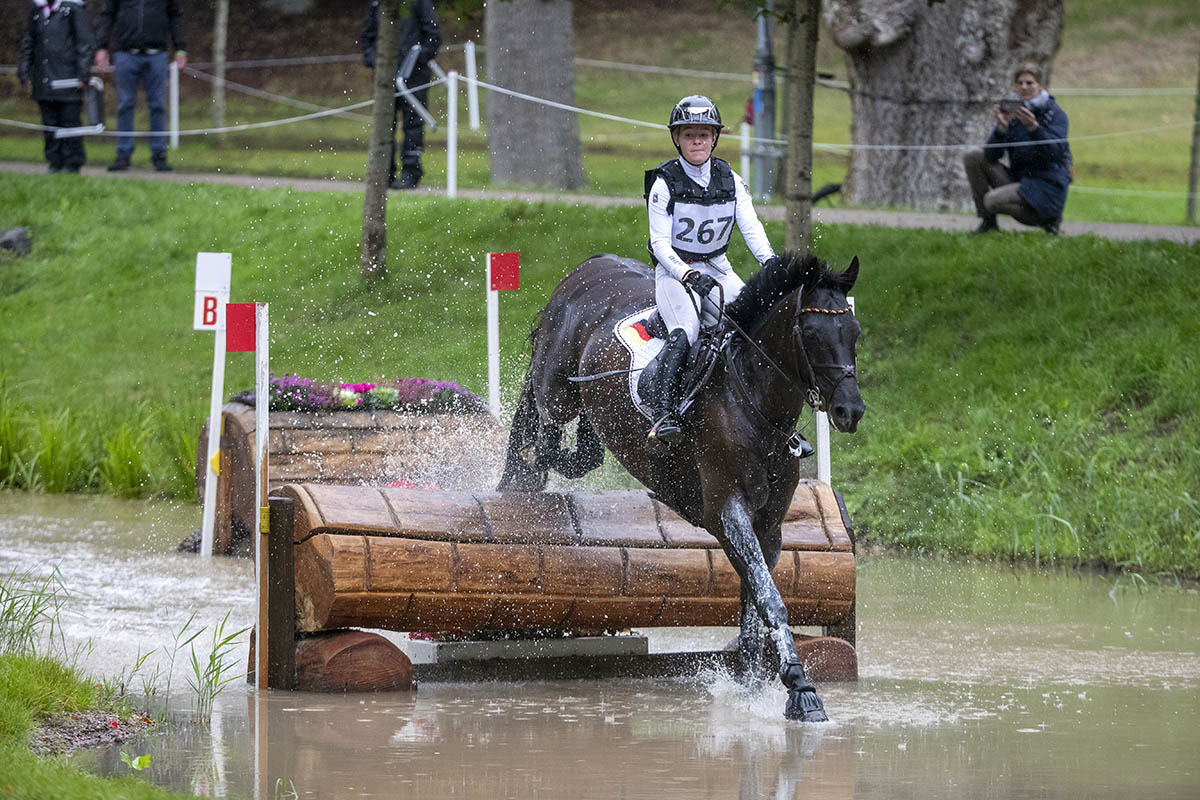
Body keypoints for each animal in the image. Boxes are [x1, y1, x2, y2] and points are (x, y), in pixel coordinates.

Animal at [496, 248, 864, 719]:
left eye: (854, 331)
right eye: (812, 333)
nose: (850, 411)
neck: (752, 401)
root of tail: (588, 266)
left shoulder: (768, 528)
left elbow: (753, 604)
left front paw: (752, 687)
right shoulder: (728, 513)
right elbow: (770, 599)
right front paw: (802, 692)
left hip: (597, 409)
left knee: (581, 453)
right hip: (555, 389)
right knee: (540, 433)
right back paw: (535, 459)